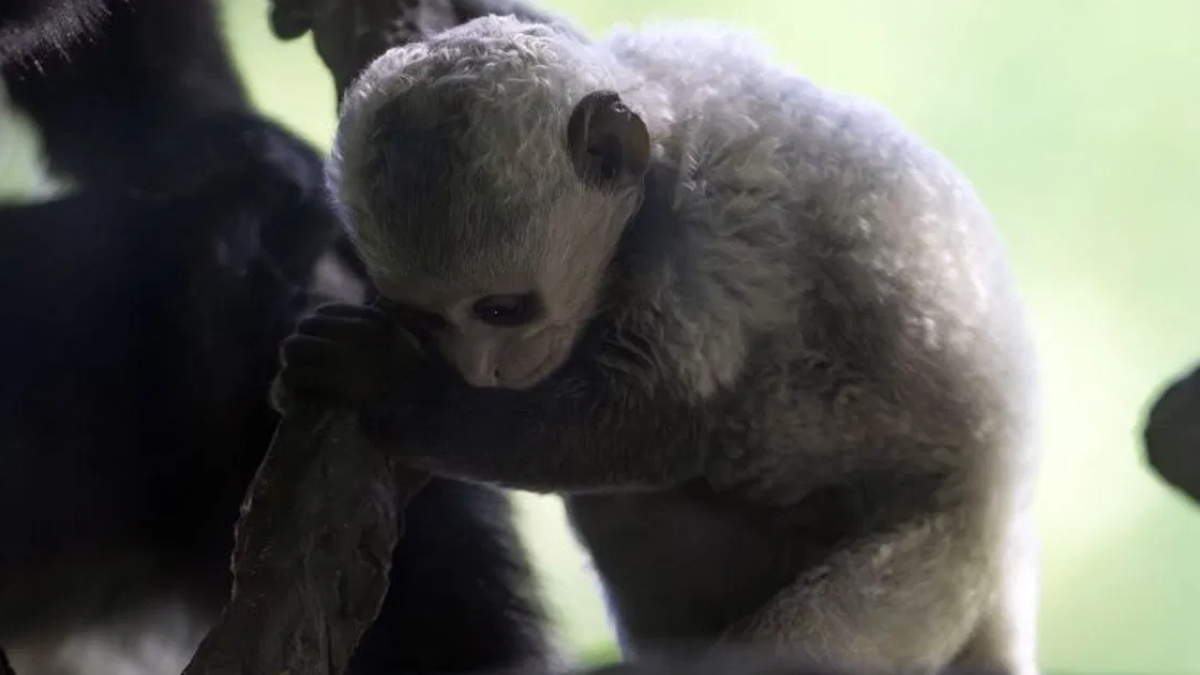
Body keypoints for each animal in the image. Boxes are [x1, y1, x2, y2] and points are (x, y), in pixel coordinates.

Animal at [271, 11, 1042, 675]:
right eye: (428, 317)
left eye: (502, 309)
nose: (482, 372)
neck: (661, 148)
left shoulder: (708, 245)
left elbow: (667, 419)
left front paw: (394, 386)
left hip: (939, 557)